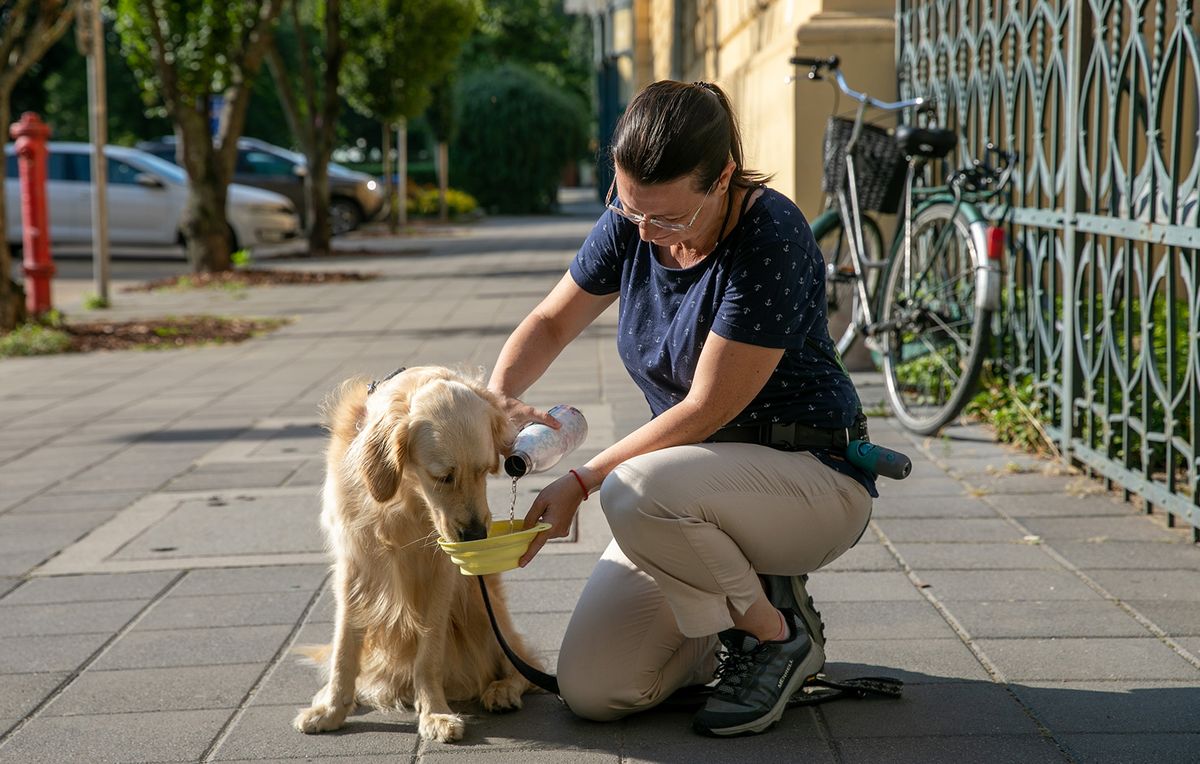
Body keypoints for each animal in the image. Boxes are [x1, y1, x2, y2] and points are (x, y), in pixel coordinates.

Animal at [295, 364, 544, 738]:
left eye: (485, 470)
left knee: (523, 665)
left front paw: (434, 713)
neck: (405, 498)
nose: (475, 535)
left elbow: (428, 653)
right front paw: (332, 709)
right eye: (443, 477)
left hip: (484, 609)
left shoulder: (443, 570)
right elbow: (344, 647)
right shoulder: (354, 563)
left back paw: (502, 690)